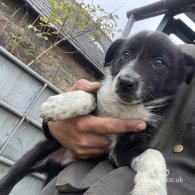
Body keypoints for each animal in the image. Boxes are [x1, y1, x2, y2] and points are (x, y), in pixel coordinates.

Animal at [0, 30, 195, 195]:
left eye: (159, 63)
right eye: (126, 54)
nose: (125, 81)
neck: (124, 107)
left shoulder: (122, 150)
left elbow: (154, 154)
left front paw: (151, 189)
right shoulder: (100, 98)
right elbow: (92, 95)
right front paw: (59, 105)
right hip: (38, 153)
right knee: (11, 177)